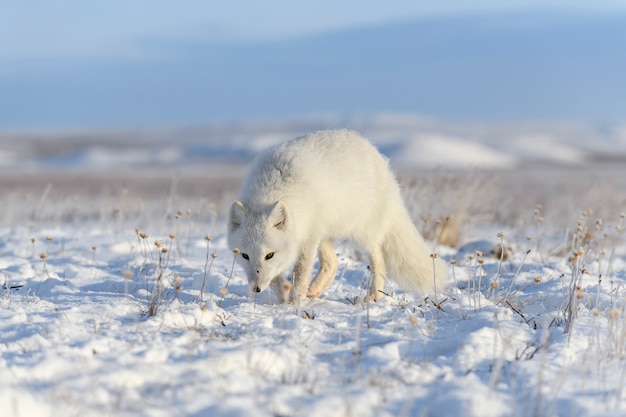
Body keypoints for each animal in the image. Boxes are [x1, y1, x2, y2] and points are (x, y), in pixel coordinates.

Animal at [227, 130, 446, 302]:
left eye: (269, 255)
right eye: (245, 256)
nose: (256, 289)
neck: (273, 189)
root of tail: (375, 152)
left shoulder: (308, 238)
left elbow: (300, 273)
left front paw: (294, 303)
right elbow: (276, 278)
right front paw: (284, 293)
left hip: (362, 232)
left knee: (379, 262)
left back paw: (373, 296)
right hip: (325, 232)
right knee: (332, 264)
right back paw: (314, 290)